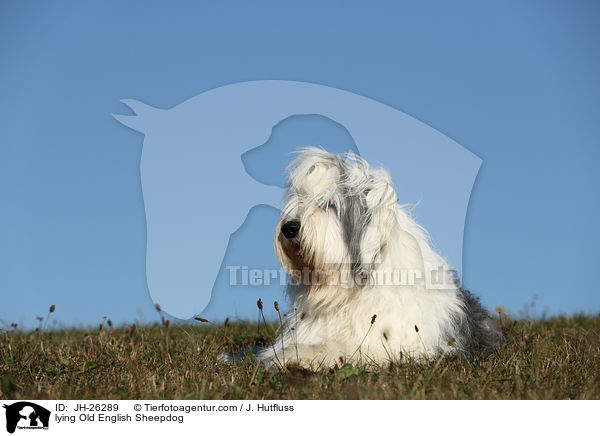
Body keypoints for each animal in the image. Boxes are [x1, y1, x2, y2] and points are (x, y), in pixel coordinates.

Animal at [253, 146, 502, 368]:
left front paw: (295, 357)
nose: (289, 228)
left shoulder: (395, 344)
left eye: (329, 204)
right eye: (300, 200)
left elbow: (341, 348)